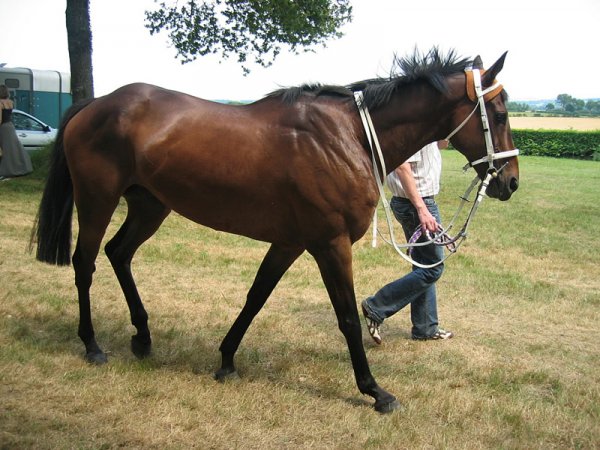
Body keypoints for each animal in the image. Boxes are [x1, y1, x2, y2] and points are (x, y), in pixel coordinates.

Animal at [32, 48, 516, 412]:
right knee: (85, 262)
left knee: (119, 253)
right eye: (499, 111)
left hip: (150, 206)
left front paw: (227, 359)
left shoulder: (289, 242)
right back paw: (92, 345)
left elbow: (256, 298)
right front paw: (375, 391)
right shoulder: (330, 244)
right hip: (98, 200)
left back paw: (143, 337)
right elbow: (346, 318)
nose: (510, 181)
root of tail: (96, 103)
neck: (351, 136)